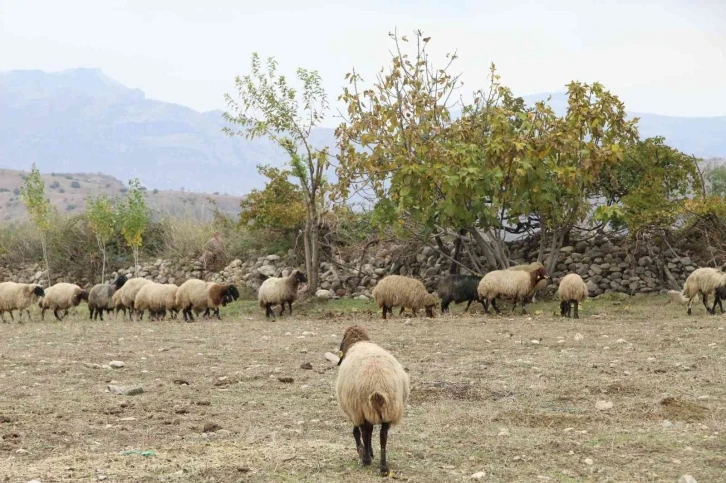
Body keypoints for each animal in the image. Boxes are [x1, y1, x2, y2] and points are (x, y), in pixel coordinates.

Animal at [336, 326, 410, 476]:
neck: (359, 342)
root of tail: (378, 384)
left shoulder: (355, 411)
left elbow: (357, 432)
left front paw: (364, 451)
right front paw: (369, 452)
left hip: (363, 405)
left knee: (365, 431)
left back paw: (366, 460)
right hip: (389, 408)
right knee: (383, 435)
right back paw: (383, 467)